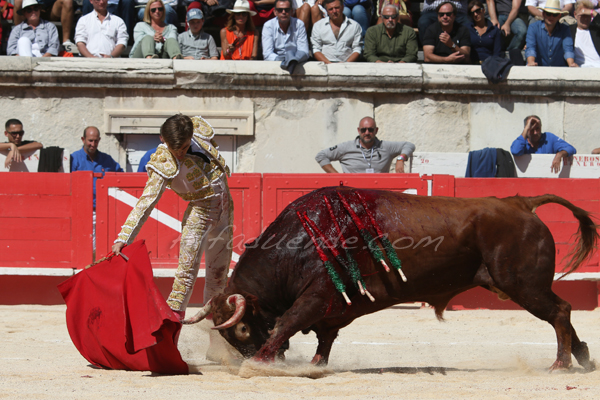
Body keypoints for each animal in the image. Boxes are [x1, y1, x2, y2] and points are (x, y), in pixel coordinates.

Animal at [185, 188, 596, 372]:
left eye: (240, 330)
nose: (246, 356)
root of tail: (520, 202)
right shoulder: (332, 308)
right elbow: (324, 338)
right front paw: (315, 365)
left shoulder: (316, 296)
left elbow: (286, 322)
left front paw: (260, 364)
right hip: (523, 286)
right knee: (562, 313)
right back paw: (584, 358)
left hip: (522, 285)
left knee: (561, 311)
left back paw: (561, 365)